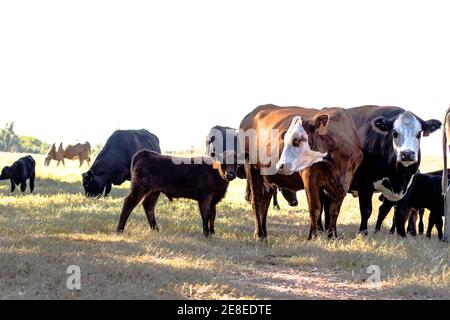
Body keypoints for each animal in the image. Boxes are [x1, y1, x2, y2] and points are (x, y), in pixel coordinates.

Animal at [239, 104, 362, 239]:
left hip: (268, 177)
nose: (280, 165)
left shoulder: (344, 183)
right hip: (251, 167)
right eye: (284, 139)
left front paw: (332, 236)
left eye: (297, 140)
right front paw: (313, 237)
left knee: (265, 203)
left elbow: (334, 211)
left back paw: (264, 233)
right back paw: (259, 234)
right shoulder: (310, 178)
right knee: (256, 201)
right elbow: (315, 208)